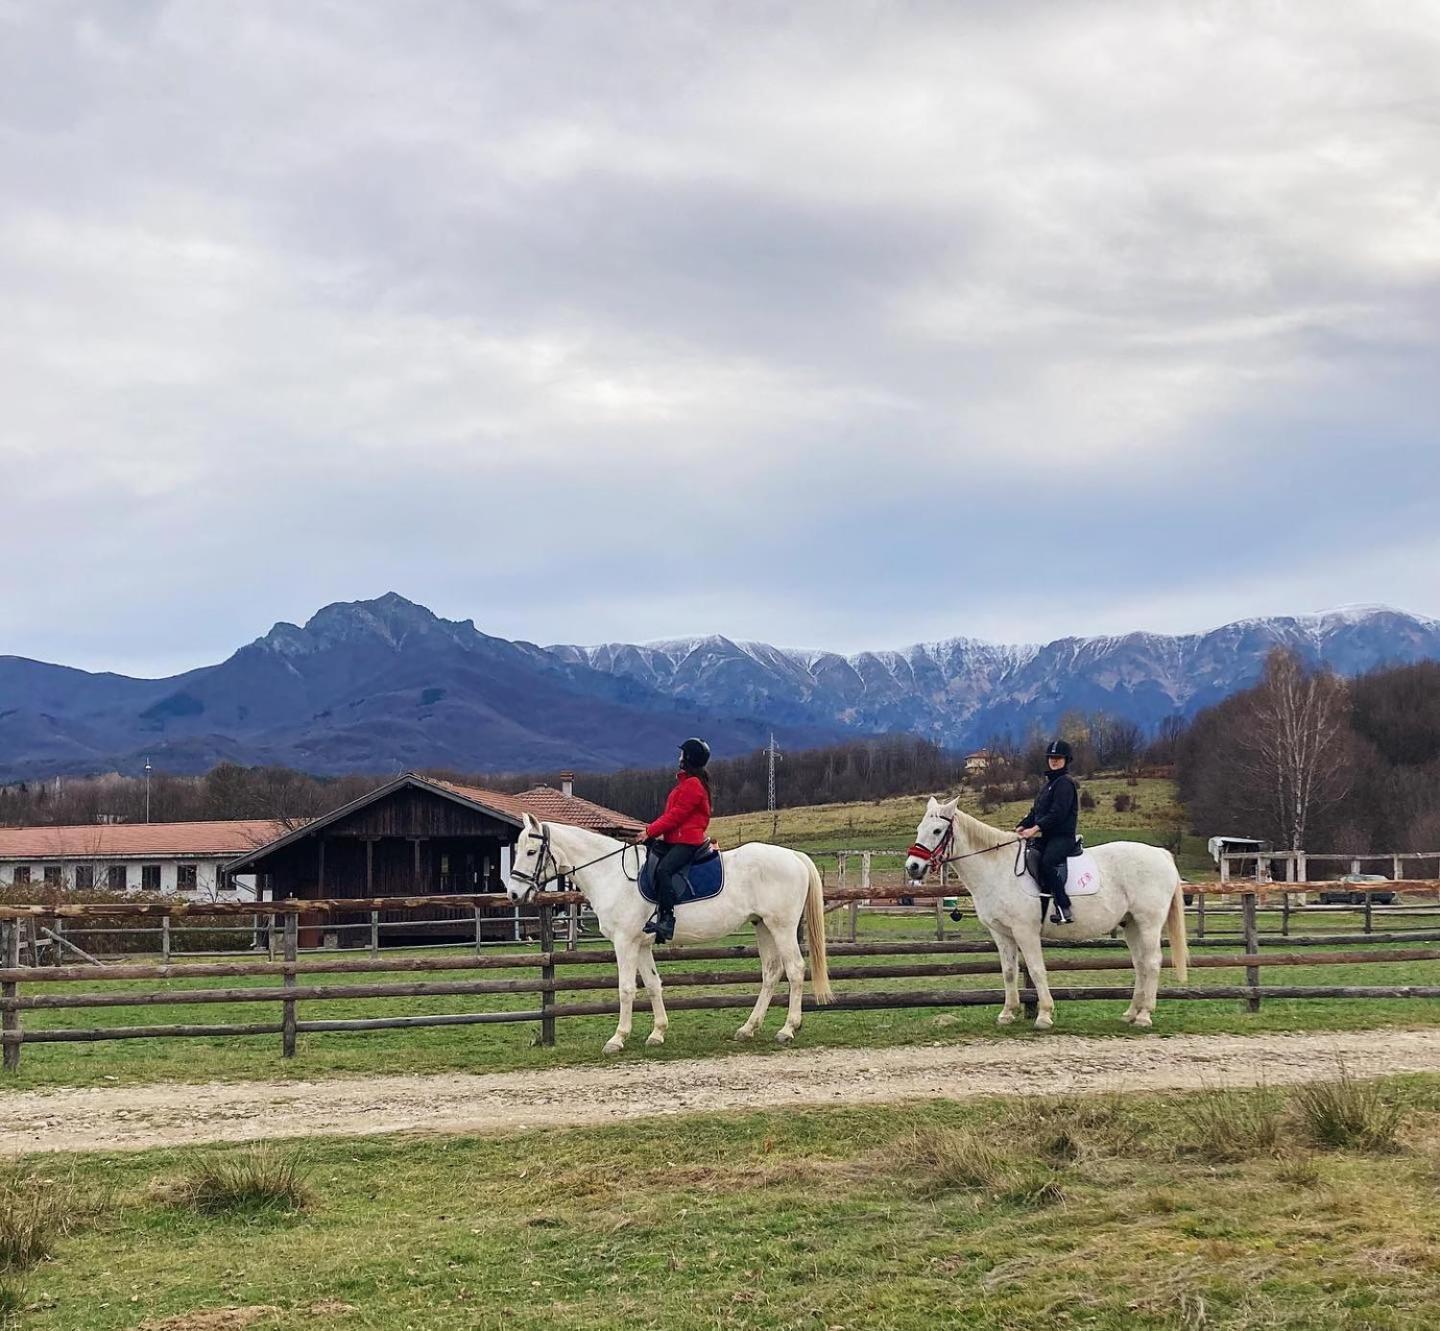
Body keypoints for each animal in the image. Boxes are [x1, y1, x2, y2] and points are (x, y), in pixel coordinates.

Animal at [504, 818, 835, 1054]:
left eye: (531, 852)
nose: (514, 894)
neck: (610, 873)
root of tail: (794, 856)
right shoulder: (640, 944)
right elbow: (652, 985)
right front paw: (657, 1033)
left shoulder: (624, 942)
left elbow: (625, 989)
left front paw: (617, 1039)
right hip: (763, 926)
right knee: (771, 972)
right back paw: (748, 1028)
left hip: (782, 926)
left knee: (795, 970)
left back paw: (788, 1029)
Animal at [904, 800, 1186, 1031]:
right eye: (919, 828)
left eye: (937, 831)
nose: (913, 867)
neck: (997, 868)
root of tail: (1161, 854)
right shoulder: (1001, 933)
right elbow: (1009, 971)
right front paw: (1007, 1014)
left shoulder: (1024, 931)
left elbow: (1037, 970)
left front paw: (1044, 1015)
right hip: (1131, 924)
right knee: (1140, 964)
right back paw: (1130, 1013)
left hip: (1149, 923)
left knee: (1152, 963)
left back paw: (1144, 1016)